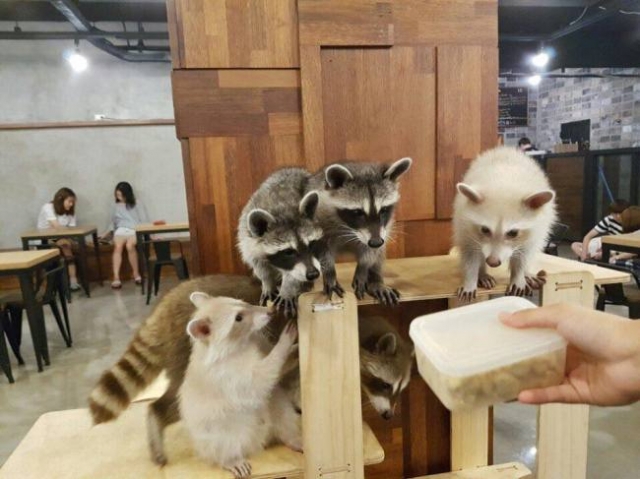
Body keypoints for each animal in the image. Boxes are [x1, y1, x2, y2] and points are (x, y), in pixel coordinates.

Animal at [236, 169, 324, 318]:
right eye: (288, 252)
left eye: (311, 244)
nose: (313, 274)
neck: (281, 208)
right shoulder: (247, 238)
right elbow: (258, 264)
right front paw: (267, 282)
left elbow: (293, 275)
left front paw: (288, 289)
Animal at [306, 159, 416, 306]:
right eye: (358, 212)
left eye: (384, 210)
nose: (375, 242)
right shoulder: (318, 217)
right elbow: (322, 248)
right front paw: (329, 272)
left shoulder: (383, 229)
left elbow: (372, 251)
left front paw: (364, 267)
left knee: (379, 253)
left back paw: (376, 280)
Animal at [456, 148, 556, 302]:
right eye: (485, 229)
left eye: (513, 233)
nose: (492, 262)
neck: (504, 183)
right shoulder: (464, 225)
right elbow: (470, 254)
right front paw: (471, 278)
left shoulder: (536, 228)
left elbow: (523, 254)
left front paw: (518, 276)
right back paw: (482, 273)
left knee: (530, 250)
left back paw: (526, 272)